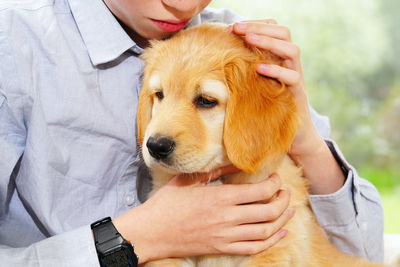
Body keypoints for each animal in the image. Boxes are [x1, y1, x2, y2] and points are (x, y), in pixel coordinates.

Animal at [137, 24, 382, 267]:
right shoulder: (169, 251)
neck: (220, 180)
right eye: (159, 95)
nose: (156, 146)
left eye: (206, 101)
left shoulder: (274, 247)